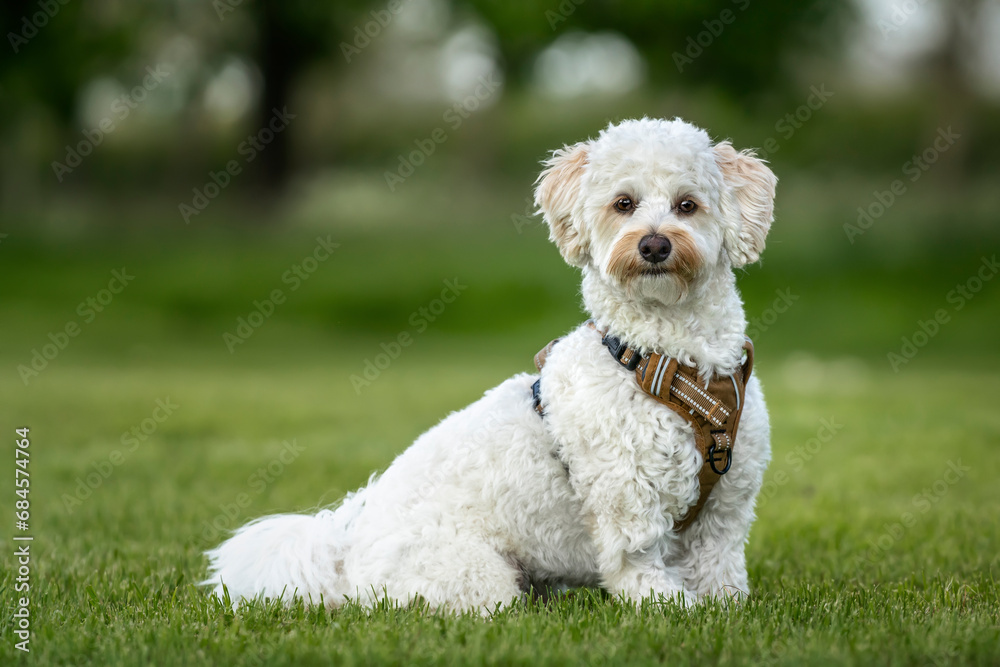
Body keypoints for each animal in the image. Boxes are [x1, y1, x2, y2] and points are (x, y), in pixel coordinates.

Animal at [203, 117, 776, 612]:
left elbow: (719, 560)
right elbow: (640, 562)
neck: (667, 360)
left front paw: (726, 607)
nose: (654, 244)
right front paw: (671, 608)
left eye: (687, 204)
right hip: (475, 577)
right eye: (624, 203)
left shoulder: (728, 502)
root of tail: (345, 556)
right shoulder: (626, 497)